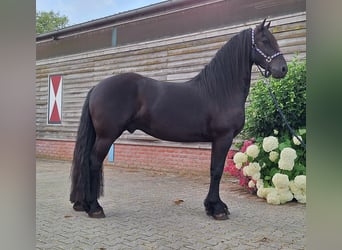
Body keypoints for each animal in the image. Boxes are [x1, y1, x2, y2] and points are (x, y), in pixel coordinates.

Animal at [71, 19, 288, 219]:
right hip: (106, 136)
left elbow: (213, 169)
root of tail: (96, 88)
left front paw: (211, 206)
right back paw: (95, 208)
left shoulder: (217, 140)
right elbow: (217, 171)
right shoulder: (223, 137)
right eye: (264, 41)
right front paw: (217, 209)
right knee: (93, 162)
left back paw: (85, 204)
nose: (283, 69)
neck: (220, 90)